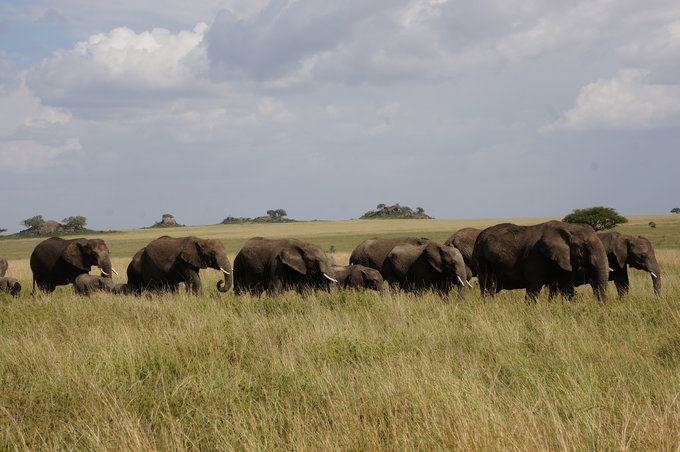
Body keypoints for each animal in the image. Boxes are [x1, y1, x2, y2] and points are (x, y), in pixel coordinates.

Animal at [470, 221, 608, 302]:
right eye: (585, 247)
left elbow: (566, 287)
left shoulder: (564, 259)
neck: (568, 227)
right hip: (481, 259)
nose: (600, 306)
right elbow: (534, 286)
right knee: (487, 288)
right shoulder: (535, 255)